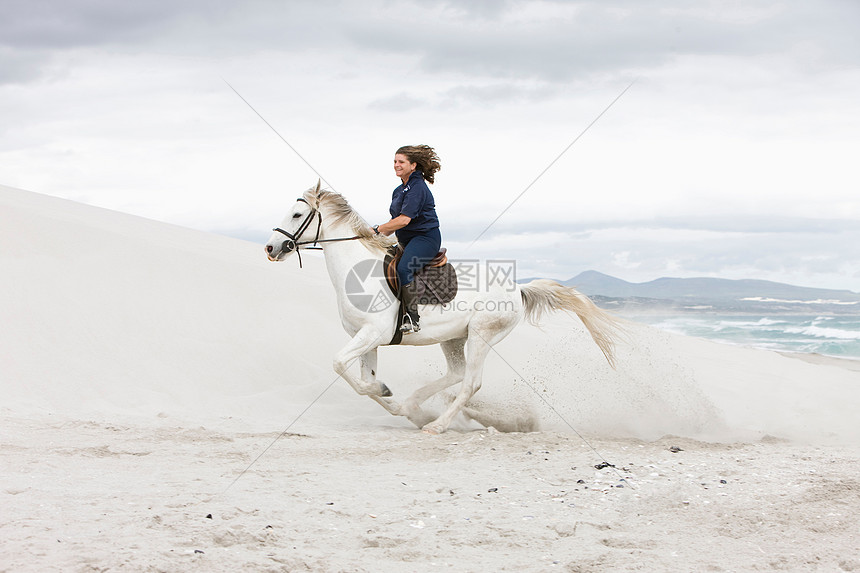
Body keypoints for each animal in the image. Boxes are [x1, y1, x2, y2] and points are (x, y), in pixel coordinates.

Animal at [262, 181, 620, 432]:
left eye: (296, 214)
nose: (270, 247)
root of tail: (517, 289)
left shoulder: (372, 334)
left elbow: (339, 364)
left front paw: (389, 394)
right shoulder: (365, 339)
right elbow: (364, 382)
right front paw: (390, 396)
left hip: (481, 336)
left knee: (470, 383)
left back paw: (436, 425)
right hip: (453, 338)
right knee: (456, 374)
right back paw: (415, 406)